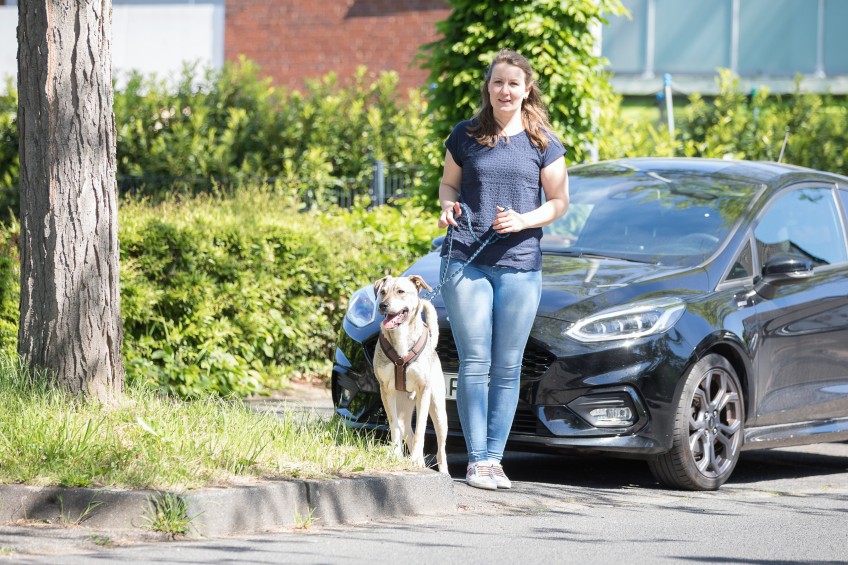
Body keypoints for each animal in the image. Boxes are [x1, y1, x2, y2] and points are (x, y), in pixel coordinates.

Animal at [372, 274, 450, 472]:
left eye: (400, 291)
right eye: (382, 292)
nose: (383, 305)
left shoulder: (424, 390)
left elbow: (422, 427)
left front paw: (416, 460)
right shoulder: (386, 390)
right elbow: (394, 426)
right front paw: (396, 456)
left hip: (438, 409)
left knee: (441, 448)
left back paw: (440, 469)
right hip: (403, 406)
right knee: (406, 429)